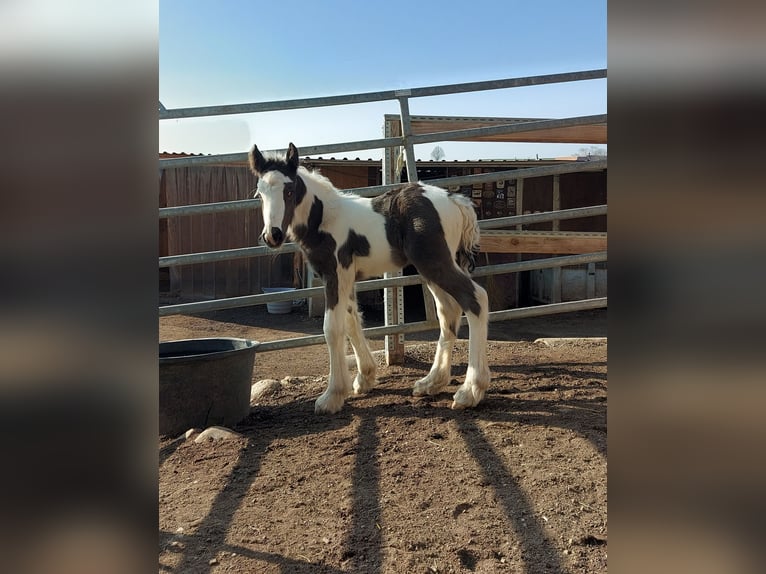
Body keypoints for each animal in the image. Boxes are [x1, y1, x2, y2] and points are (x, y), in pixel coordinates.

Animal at [252, 143, 492, 414]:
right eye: (260, 194)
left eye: (290, 190)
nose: (272, 235)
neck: (325, 219)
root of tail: (454, 199)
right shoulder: (345, 278)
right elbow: (351, 321)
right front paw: (364, 378)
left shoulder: (335, 274)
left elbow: (332, 328)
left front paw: (332, 396)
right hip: (431, 268)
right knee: (448, 311)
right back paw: (431, 382)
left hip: (435, 263)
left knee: (475, 299)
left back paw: (470, 391)